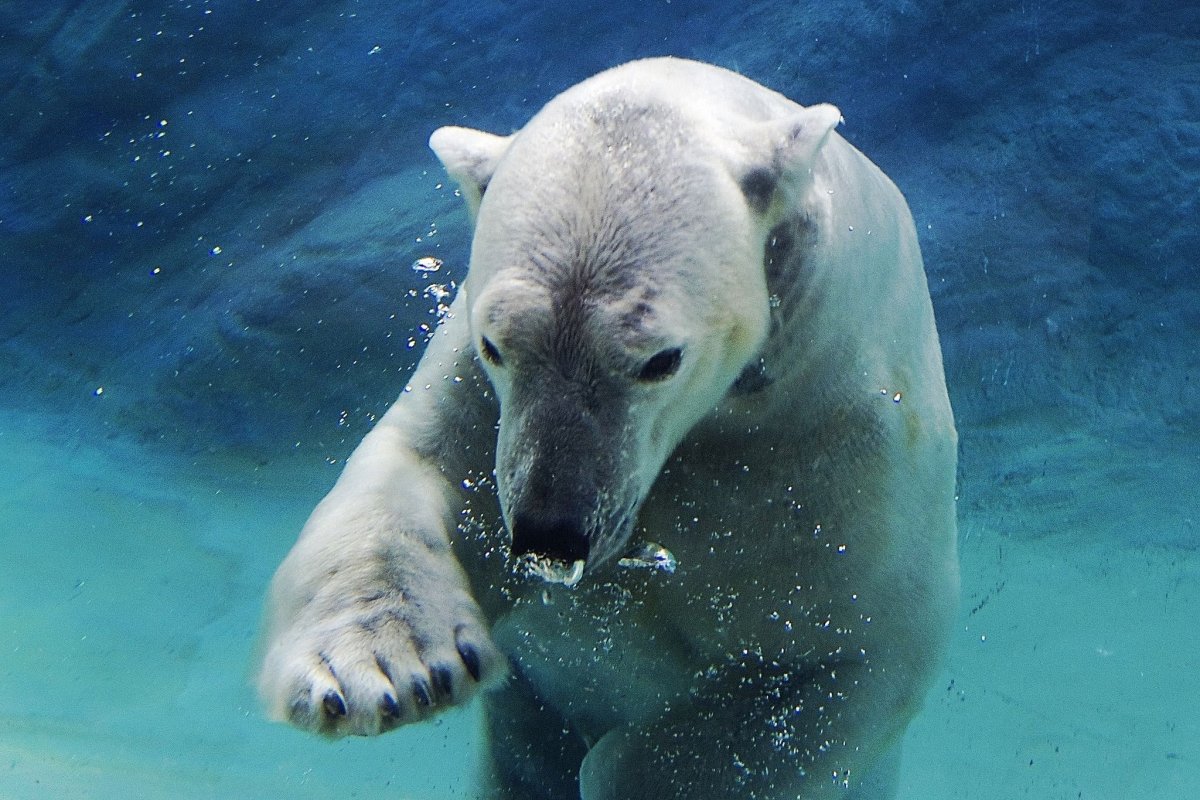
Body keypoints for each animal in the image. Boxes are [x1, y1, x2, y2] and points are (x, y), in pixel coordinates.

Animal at [260, 57, 955, 800]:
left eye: (662, 359)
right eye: (496, 345)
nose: (550, 534)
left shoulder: (839, 446)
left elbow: (842, 658)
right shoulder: (480, 393)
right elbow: (417, 469)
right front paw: (389, 672)